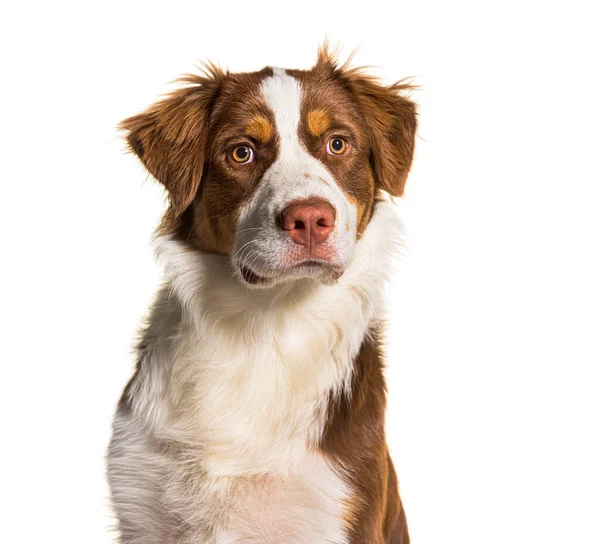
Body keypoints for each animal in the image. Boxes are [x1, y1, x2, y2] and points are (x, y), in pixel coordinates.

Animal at [108, 45, 414, 544]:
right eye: (241, 152)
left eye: (338, 144)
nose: (310, 219)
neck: (265, 328)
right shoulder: (143, 504)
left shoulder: (337, 501)